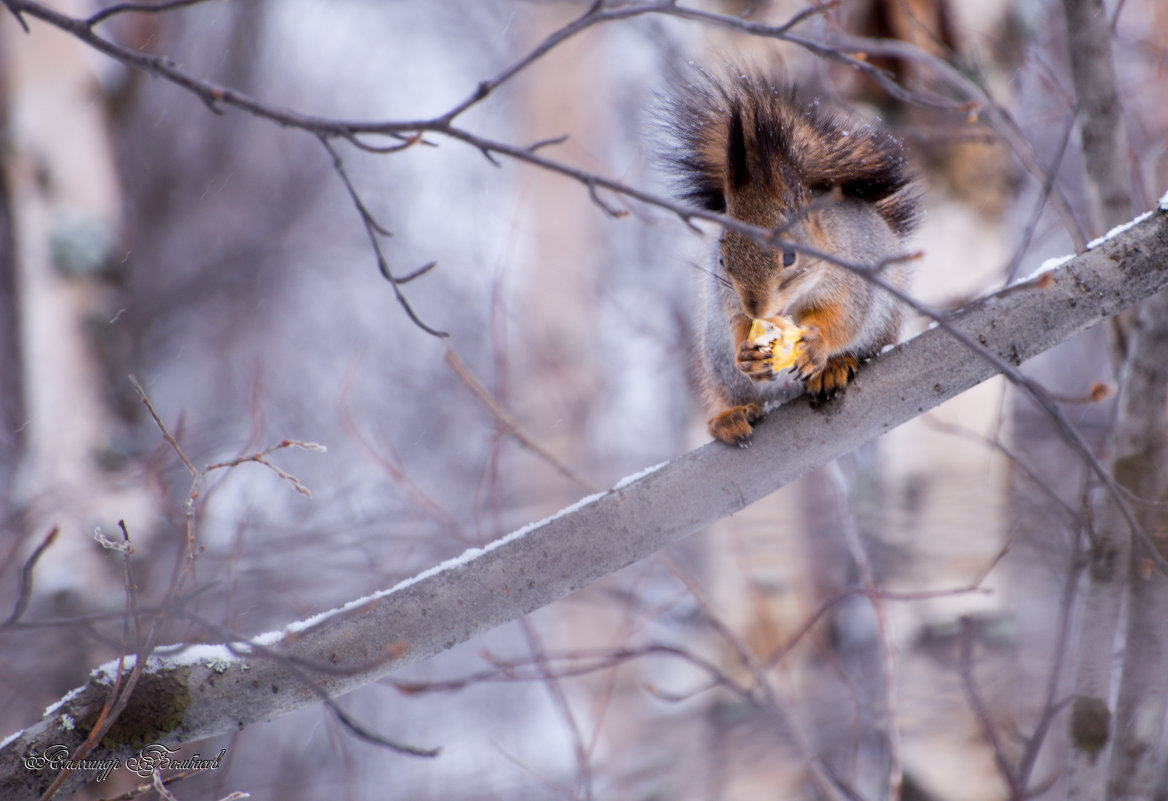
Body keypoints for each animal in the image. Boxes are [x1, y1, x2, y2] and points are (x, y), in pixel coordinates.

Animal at [668, 70, 920, 446]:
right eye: (722, 261)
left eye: (790, 256)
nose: (757, 308)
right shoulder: (730, 299)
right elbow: (737, 320)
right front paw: (746, 353)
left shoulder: (854, 280)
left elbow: (844, 318)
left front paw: (818, 344)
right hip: (717, 361)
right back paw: (730, 417)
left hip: (882, 326)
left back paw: (835, 367)